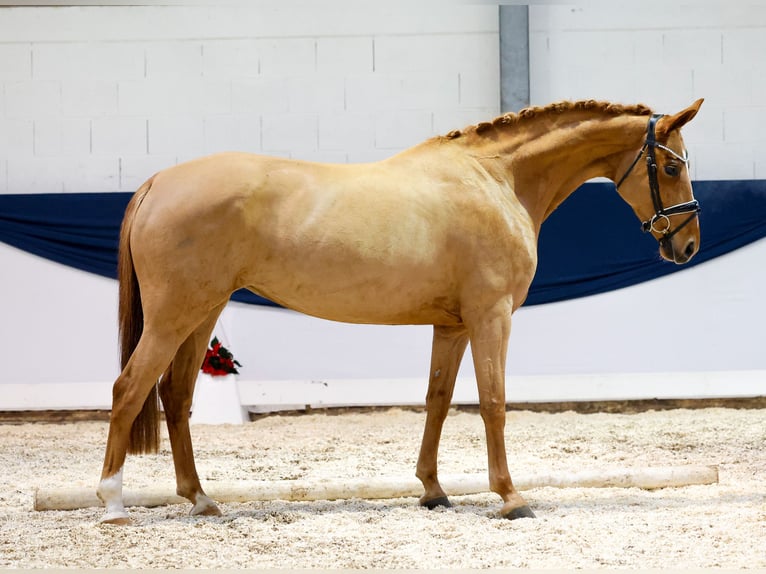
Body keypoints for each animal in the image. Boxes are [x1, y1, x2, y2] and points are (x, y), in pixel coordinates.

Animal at [99, 100, 704, 528]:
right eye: (672, 165)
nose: (689, 245)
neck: (496, 179)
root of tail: (158, 182)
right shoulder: (491, 317)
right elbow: (493, 403)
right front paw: (511, 497)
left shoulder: (452, 325)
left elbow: (437, 400)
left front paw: (433, 491)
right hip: (176, 316)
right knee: (129, 390)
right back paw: (112, 503)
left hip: (202, 314)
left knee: (176, 397)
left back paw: (200, 500)